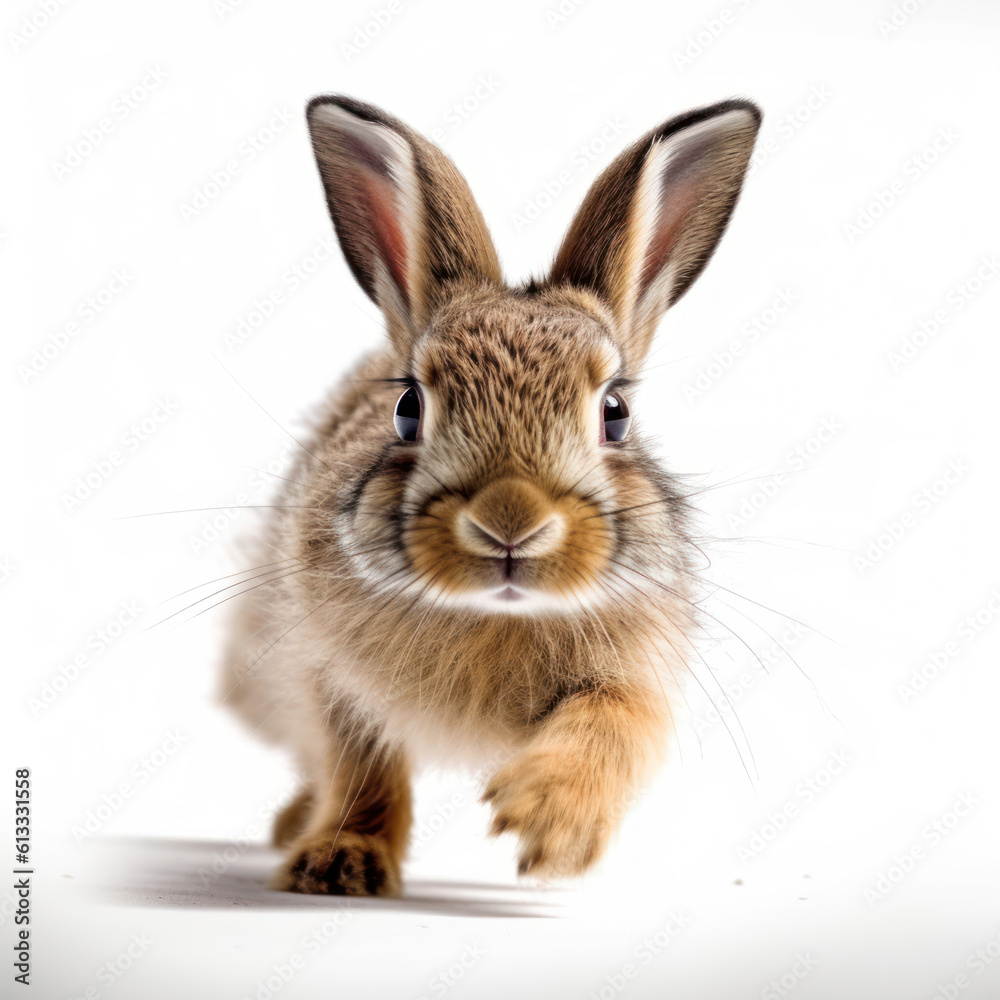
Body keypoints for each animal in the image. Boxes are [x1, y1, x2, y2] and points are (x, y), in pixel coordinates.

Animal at [221, 94, 761, 896]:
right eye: (408, 407)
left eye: (615, 414)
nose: (511, 522)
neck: (496, 617)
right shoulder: (322, 670)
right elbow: (359, 766)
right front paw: (339, 863)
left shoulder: (642, 668)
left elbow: (615, 721)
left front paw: (550, 822)